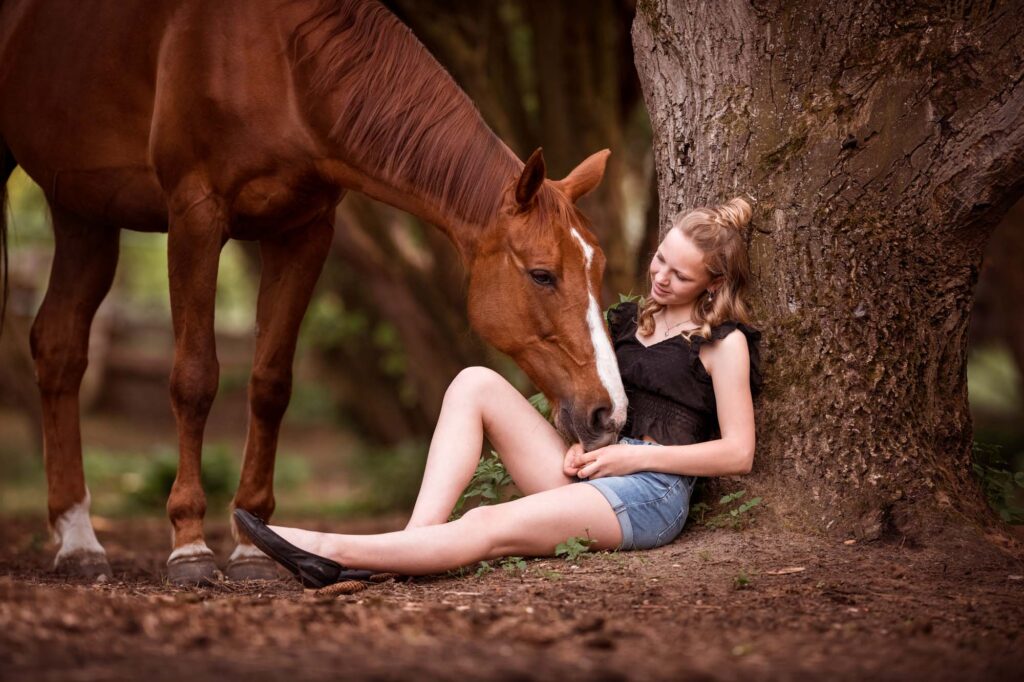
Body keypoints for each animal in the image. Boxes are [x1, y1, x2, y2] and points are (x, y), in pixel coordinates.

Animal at [0, 0, 628, 584]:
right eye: (542, 274)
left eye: (597, 269)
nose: (609, 413)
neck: (281, 63)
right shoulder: (195, 216)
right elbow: (194, 379)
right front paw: (190, 544)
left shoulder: (303, 231)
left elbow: (271, 384)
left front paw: (252, 544)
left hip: (82, 211)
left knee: (58, 346)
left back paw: (78, 541)